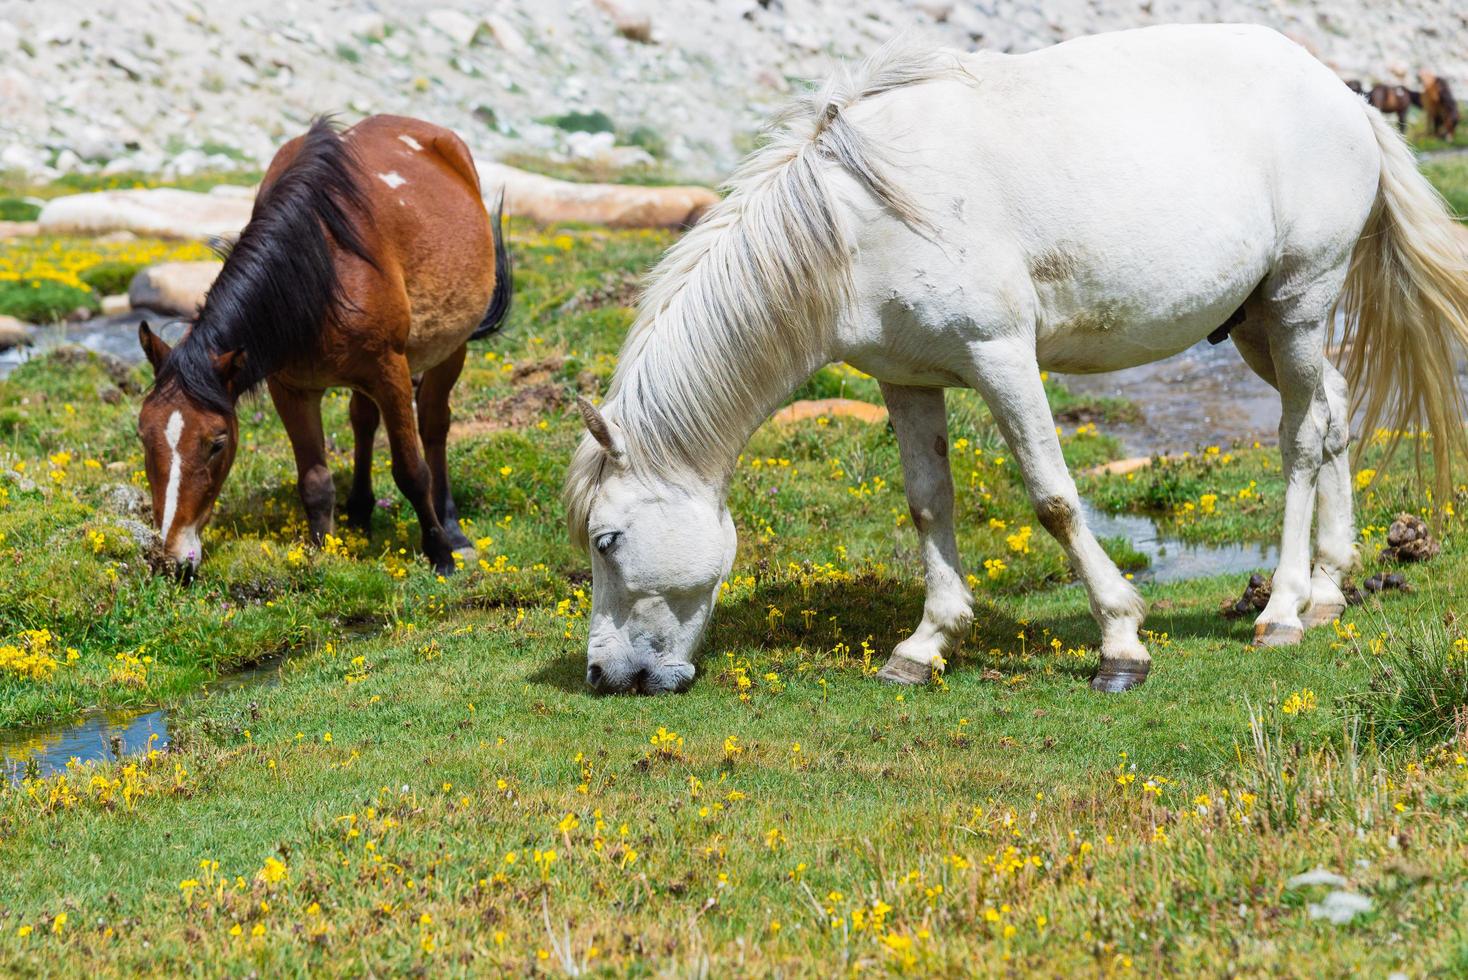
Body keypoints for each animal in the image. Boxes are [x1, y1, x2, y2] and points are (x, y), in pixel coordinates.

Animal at [137, 113, 513, 575]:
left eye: (217, 443)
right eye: (143, 436)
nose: (172, 558)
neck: (321, 272)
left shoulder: (391, 371)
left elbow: (411, 470)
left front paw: (440, 554)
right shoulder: (292, 388)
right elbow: (314, 480)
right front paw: (320, 554)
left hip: (450, 350)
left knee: (434, 424)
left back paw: (453, 530)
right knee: (363, 420)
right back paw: (360, 511)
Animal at [560, 24, 1468, 695]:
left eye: (606, 540)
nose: (604, 675)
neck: (856, 225)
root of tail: (1341, 94)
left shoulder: (1001, 359)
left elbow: (1054, 499)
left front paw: (1121, 643)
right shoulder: (906, 379)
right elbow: (928, 505)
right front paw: (924, 646)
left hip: (1298, 303)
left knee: (1301, 440)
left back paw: (1280, 610)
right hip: (1256, 325)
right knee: (1332, 411)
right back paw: (1328, 589)